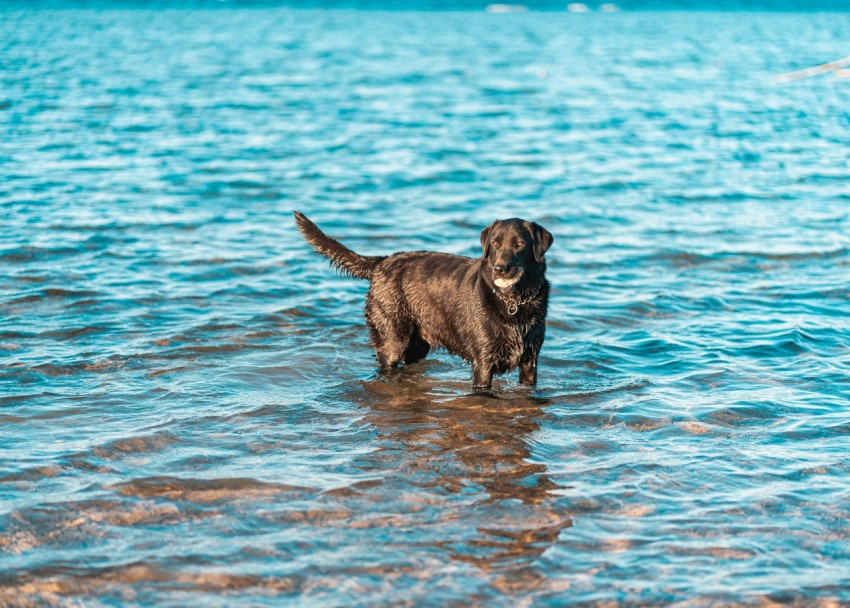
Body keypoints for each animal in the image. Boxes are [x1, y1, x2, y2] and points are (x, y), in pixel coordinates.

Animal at [294, 210, 552, 390]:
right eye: (496, 244)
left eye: (519, 244)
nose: (500, 268)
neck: (514, 301)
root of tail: (381, 262)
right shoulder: (483, 361)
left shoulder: (530, 360)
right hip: (391, 338)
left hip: (417, 345)